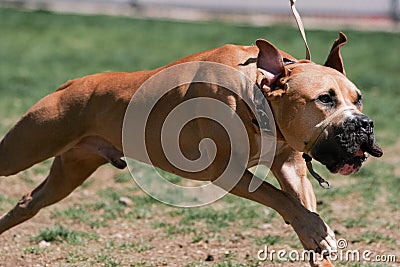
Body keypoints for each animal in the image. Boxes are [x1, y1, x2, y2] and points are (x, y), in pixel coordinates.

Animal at [0, 32, 382, 266]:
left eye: (358, 99)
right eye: (324, 99)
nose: (364, 125)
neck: (257, 91)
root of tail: (70, 84)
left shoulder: (291, 166)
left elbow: (300, 204)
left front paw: (315, 239)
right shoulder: (227, 171)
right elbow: (280, 199)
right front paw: (316, 232)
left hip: (69, 171)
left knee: (27, 203)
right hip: (26, 148)